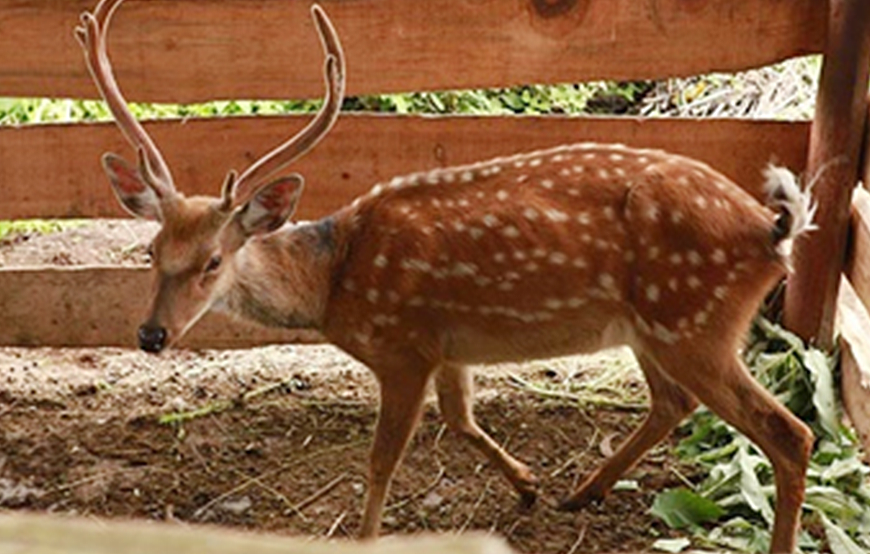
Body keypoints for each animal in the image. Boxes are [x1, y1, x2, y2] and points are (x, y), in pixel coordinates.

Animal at [75, 2, 816, 548]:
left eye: (213, 261)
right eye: (151, 251)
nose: (150, 335)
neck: (335, 281)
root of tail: (773, 230)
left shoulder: (403, 348)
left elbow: (382, 461)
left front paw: (367, 537)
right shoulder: (450, 345)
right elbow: (461, 419)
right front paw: (527, 485)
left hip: (696, 321)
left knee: (789, 432)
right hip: (654, 326)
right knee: (673, 402)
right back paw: (582, 491)